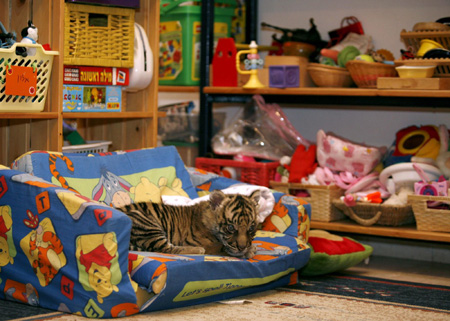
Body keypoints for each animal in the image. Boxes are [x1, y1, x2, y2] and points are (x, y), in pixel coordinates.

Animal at [118, 190, 262, 258]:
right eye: (231, 228)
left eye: (251, 228)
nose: (242, 247)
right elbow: (223, 247)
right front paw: (249, 250)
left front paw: (250, 248)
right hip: (146, 223)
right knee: (166, 248)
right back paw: (198, 250)